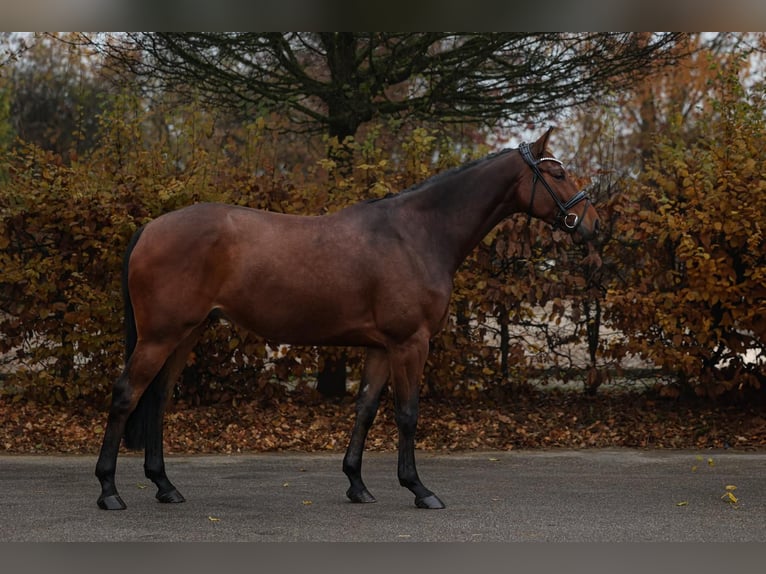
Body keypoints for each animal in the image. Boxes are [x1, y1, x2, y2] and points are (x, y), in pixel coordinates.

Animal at [95, 128, 599, 511]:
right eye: (557, 172)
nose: (593, 224)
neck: (418, 233)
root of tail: (149, 228)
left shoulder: (381, 347)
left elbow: (365, 411)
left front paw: (357, 484)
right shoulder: (410, 343)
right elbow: (407, 414)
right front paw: (419, 489)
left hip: (186, 333)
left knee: (157, 399)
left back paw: (165, 486)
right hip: (160, 336)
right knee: (126, 395)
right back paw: (109, 491)